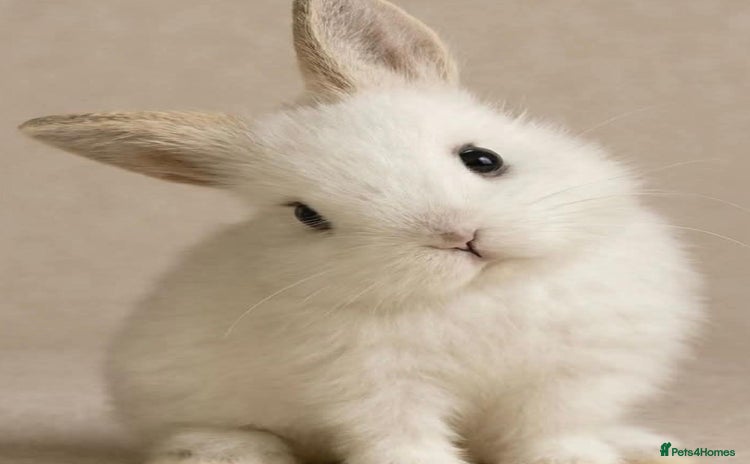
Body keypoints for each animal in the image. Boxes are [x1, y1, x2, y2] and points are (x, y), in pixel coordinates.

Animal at [19, 0, 702, 463]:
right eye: (307, 216)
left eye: (483, 158)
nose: (459, 238)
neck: (478, 292)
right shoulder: (378, 392)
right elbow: (405, 441)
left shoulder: (568, 383)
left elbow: (552, 435)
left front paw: (581, 457)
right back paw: (232, 450)